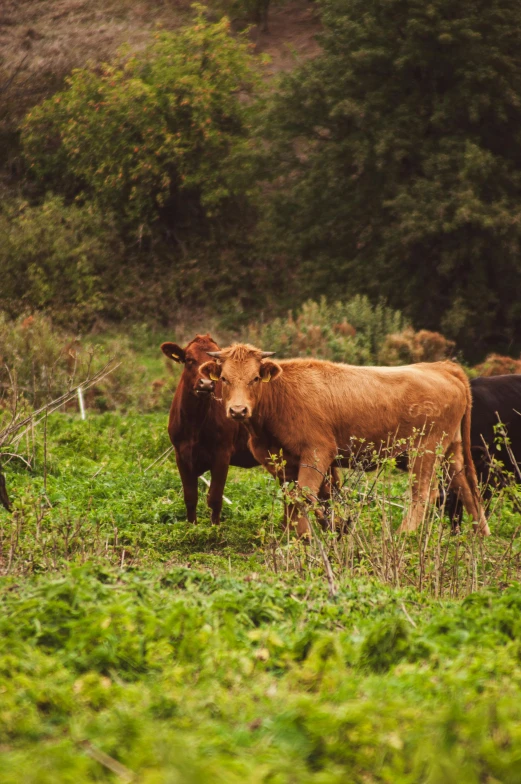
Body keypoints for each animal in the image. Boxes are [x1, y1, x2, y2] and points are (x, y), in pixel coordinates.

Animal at [199, 344, 488, 536]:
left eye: (255, 378)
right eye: (224, 378)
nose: (238, 410)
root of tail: (442, 367)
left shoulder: (317, 452)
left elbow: (305, 495)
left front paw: (315, 534)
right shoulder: (281, 460)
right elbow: (295, 497)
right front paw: (296, 535)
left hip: (425, 452)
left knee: (423, 494)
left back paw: (403, 536)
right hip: (451, 451)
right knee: (467, 488)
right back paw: (480, 536)